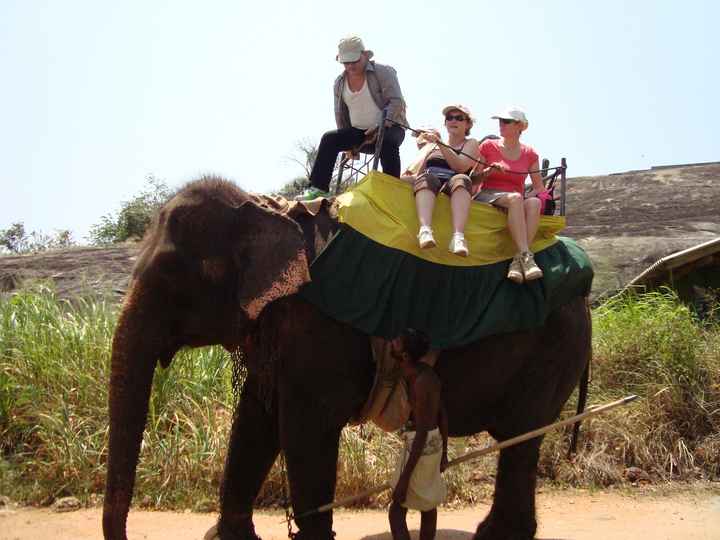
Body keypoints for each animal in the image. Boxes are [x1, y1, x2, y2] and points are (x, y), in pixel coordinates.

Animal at [103, 176, 592, 540]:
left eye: (169, 277)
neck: (265, 209)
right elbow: (255, 420)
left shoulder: (320, 329)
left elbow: (305, 428)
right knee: (521, 442)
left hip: (551, 351)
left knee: (522, 438)